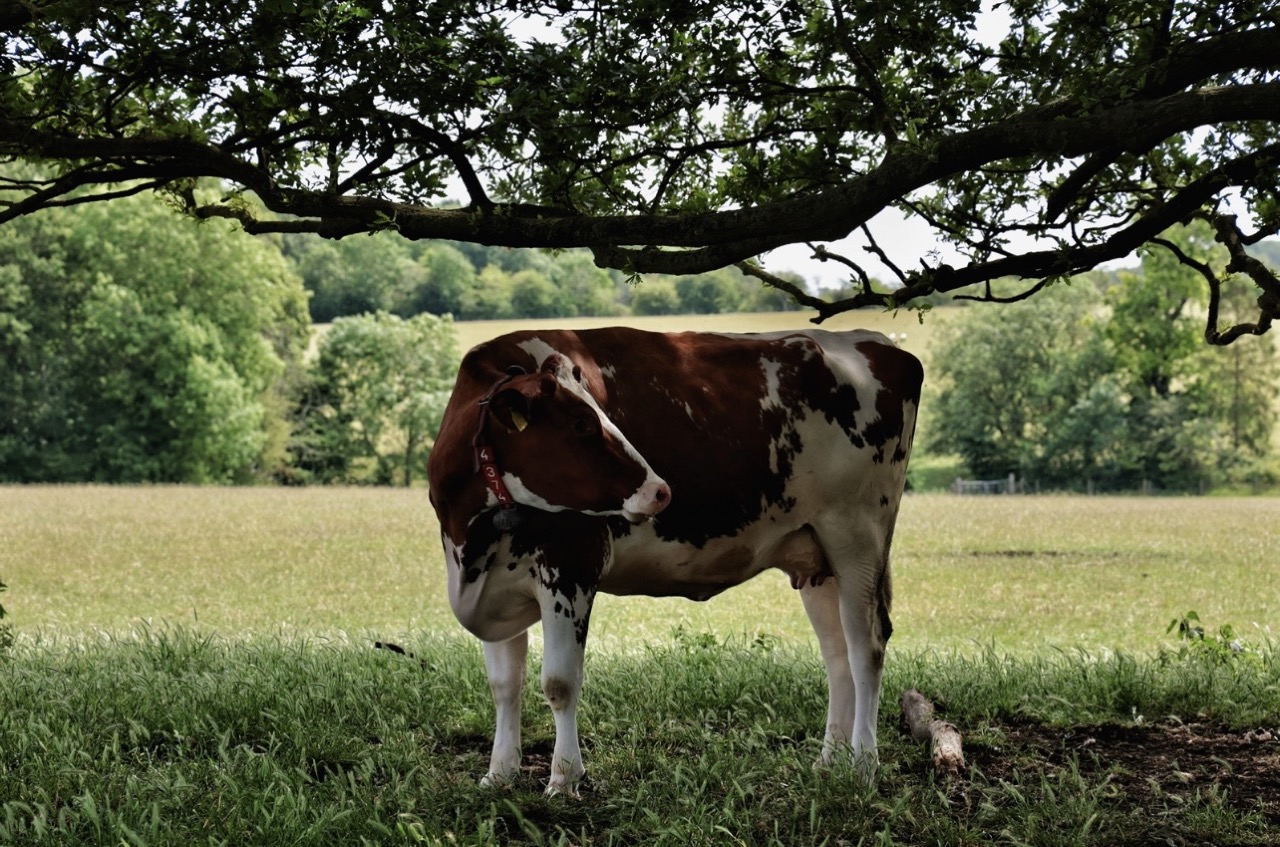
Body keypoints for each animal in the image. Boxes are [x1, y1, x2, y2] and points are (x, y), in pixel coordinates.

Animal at [427, 326, 921, 795]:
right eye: (582, 424)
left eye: (603, 415)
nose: (660, 490)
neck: (470, 541)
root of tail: (878, 342)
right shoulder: (495, 585)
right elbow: (504, 685)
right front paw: (499, 774)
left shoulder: (571, 566)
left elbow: (559, 683)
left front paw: (564, 778)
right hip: (818, 555)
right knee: (837, 653)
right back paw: (830, 760)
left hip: (858, 534)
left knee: (866, 647)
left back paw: (863, 766)